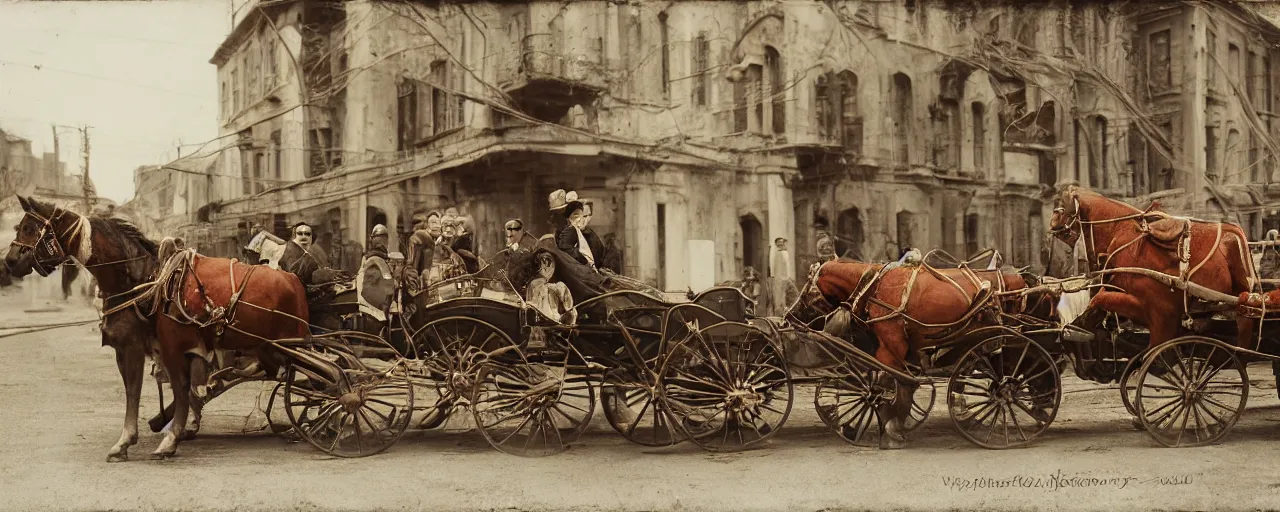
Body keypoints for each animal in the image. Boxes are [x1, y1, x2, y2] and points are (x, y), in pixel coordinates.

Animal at [5, 194, 161, 460]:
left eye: (28, 228)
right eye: (19, 227)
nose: (10, 261)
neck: (135, 282)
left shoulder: (133, 347)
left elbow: (133, 391)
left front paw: (125, 441)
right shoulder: (121, 350)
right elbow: (133, 389)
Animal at [783, 256, 1054, 448]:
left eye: (806, 288)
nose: (788, 316)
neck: (874, 287)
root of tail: (1020, 281)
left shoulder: (891, 344)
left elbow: (890, 384)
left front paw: (891, 428)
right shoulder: (906, 349)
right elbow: (903, 385)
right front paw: (898, 422)